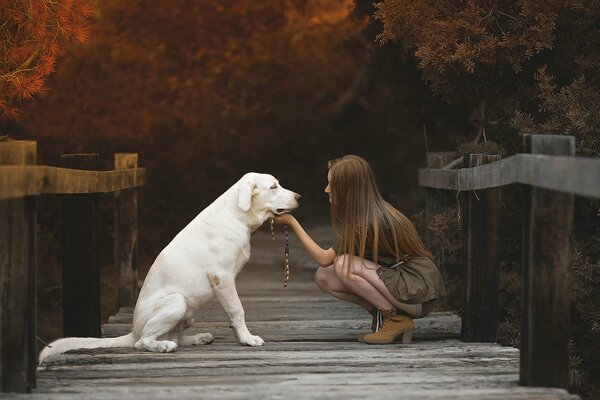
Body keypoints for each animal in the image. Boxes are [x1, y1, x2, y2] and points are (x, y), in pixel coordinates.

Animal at [38, 172, 300, 362]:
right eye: (273, 187)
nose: (298, 197)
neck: (236, 216)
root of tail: (132, 331)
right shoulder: (222, 278)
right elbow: (237, 310)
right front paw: (247, 339)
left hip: (187, 314)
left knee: (176, 337)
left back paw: (197, 338)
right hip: (176, 302)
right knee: (143, 341)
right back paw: (163, 346)